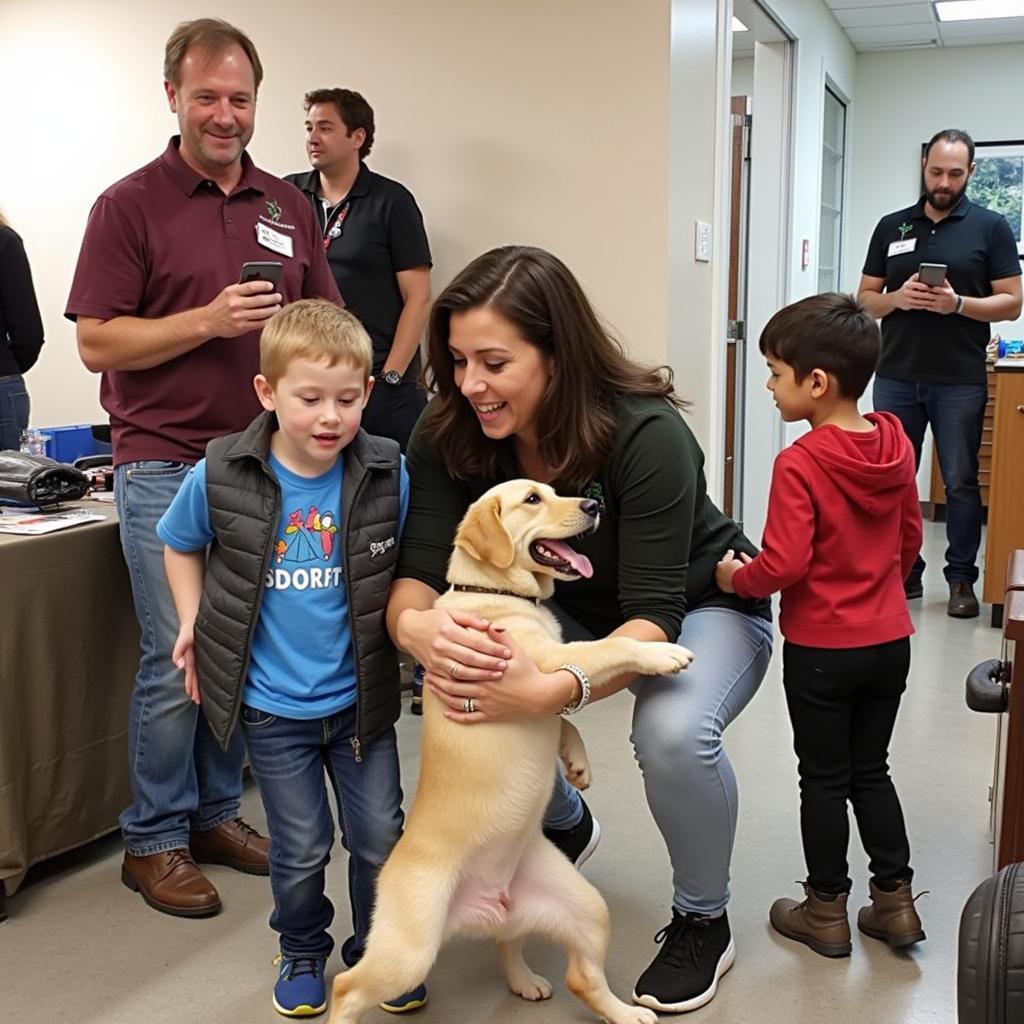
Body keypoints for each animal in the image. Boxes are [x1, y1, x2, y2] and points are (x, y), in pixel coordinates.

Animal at [327, 481, 696, 1024]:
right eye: (532, 499)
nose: (593, 506)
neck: (495, 592)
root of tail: (484, 905)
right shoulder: (541, 661)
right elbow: (605, 649)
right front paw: (661, 654)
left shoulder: (538, 683)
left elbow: (564, 710)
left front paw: (576, 761)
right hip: (409, 951)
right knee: (347, 988)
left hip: (585, 907)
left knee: (566, 971)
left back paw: (576, 997)